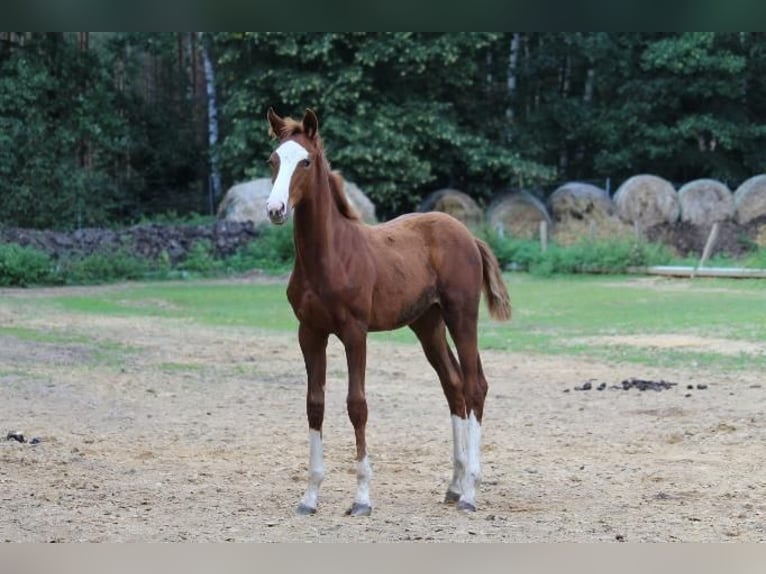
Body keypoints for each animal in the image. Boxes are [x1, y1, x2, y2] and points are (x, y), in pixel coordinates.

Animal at [265, 107, 511, 516]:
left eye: (305, 161)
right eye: (272, 160)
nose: (275, 209)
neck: (331, 256)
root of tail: (467, 235)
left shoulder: (355, 332)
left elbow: (357, 405)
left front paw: (362, 498)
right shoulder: (309, 333)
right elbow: (315, 405)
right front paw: (310, 497)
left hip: (462, 315)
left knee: (476, 385)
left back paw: (470, 493)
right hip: (428, 324)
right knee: (454, 385)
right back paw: (454, 485)